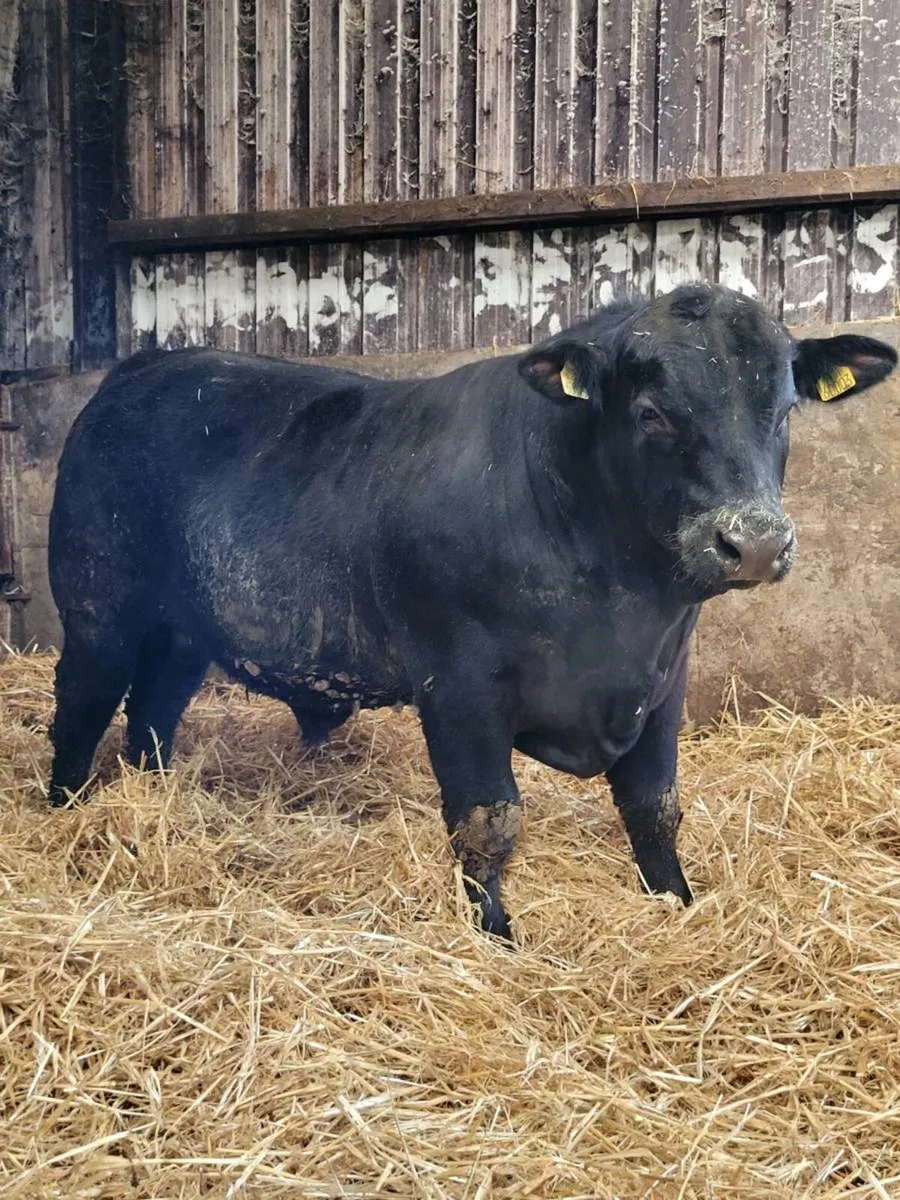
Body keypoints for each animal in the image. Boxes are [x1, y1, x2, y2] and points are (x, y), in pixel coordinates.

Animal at [46, 284, 896, 939]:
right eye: (653, 413)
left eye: (783, 409)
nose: (754, 542)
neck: (618, 599)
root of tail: (146, 365)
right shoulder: (458, 688)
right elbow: (489, 821)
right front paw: (497, 937)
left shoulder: (664, 679)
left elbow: (655, 807)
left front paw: (678, 904)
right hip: (98, 613)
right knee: (80, 714)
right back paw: (63, 814)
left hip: (181, 632)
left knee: (152, 720)